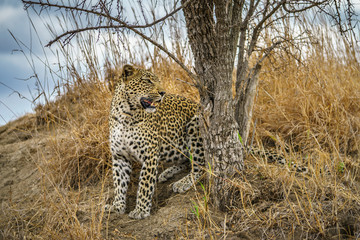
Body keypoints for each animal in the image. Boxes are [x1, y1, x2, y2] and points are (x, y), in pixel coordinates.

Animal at [105, 64, 204, 219]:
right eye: (147, 81)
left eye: (158, 81)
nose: (163, 92)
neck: (126, 115)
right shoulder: (119, 157)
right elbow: (119, 184)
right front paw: (117, 207)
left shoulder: (149, 154)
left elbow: (145, 185)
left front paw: (141, 210)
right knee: (188, 162)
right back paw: (167, 172)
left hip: (195, 125)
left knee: (201, 166)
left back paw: (182, 182)